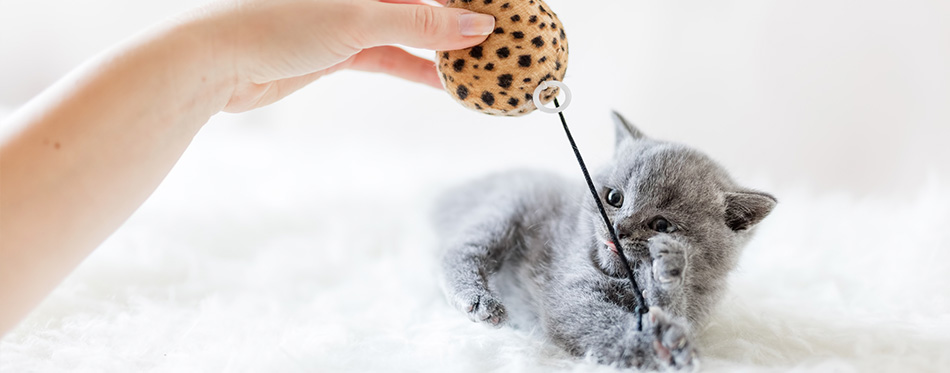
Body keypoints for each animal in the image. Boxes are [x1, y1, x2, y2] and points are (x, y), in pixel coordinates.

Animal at [436, 112, 776, 368]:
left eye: (662, 225)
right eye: (615, 198)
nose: (619, 227)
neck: (620, 277)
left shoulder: (695, 310)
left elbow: (666, 311)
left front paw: (668, 275)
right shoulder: (571, 289)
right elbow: (599, 320)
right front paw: (654, 347)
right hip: (507, 207)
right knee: (460, 251)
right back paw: (480, 301)